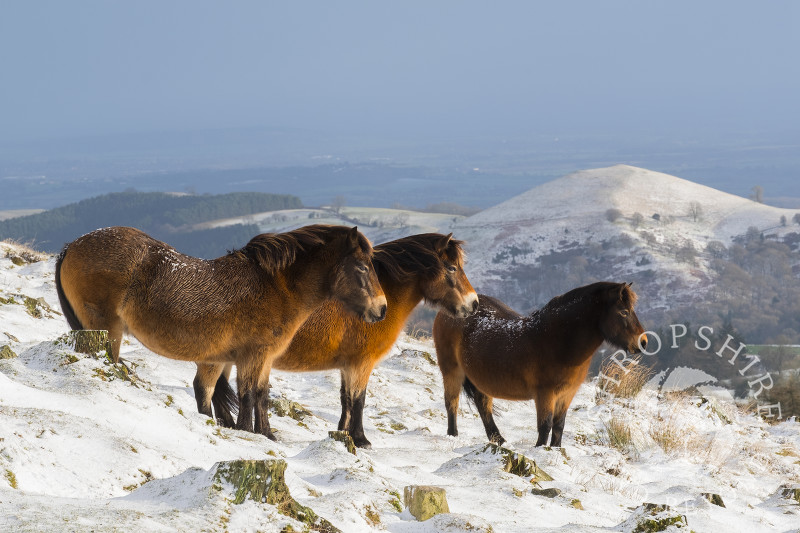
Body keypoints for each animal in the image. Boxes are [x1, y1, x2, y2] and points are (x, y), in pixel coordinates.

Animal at [54, 224, 386, 436]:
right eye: (361, 267)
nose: (381, 309)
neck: (276, 287)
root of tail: (72, 245)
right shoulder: (252, 356)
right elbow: (249, 395)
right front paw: (247, 431)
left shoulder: (259, 358)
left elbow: (261, 395)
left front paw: (266, 434)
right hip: (106, 329)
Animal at [200, 232, 478, 444]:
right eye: (452, 268)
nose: (473, 304)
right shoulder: (361, 363)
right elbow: (359, 400)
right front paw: (361, 439)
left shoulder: (347, 365)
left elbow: (346, 398)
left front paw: (343, 432)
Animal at [434, 280, 648, 446]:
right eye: (623, 312)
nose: (643, 342)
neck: (555, 340)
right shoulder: (545, 394)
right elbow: (545, 426)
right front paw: (539, 450)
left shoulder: (567, 394)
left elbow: (559, 426)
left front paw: (555, 451)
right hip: (452, 370)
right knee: (452, 402)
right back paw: (453, 436)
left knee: (483, 404)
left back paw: (499, 440)